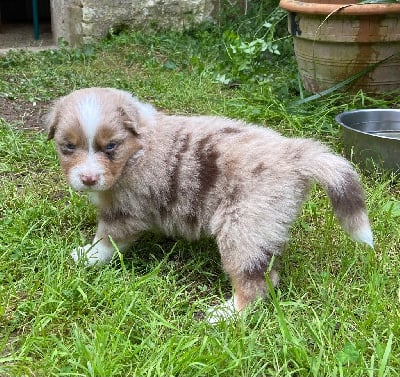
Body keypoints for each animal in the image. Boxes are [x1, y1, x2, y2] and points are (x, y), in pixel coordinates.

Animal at [46, 87, 372, 320]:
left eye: (110, 146)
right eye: (68, 147)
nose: (88, 178)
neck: (137, 149)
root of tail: (296, 156)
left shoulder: (125, 210)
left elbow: (108, 239)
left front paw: (86, 256)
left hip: (242, 227)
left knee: (256, 282)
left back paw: (226, 314)